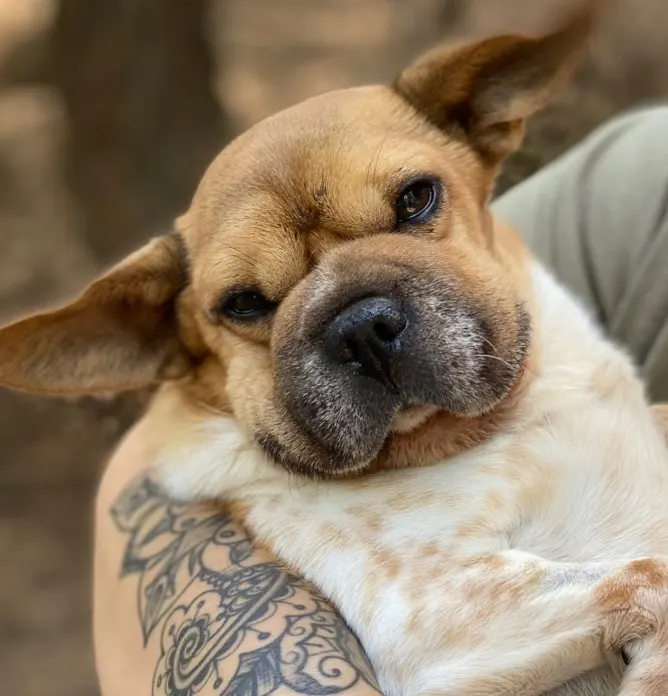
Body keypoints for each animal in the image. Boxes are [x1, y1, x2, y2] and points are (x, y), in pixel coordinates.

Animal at [1, 5, 668, 696]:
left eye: (416, 197)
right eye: (243, 302)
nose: (361, 328)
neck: (498, 425)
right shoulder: (430, 616)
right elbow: (650, 576)